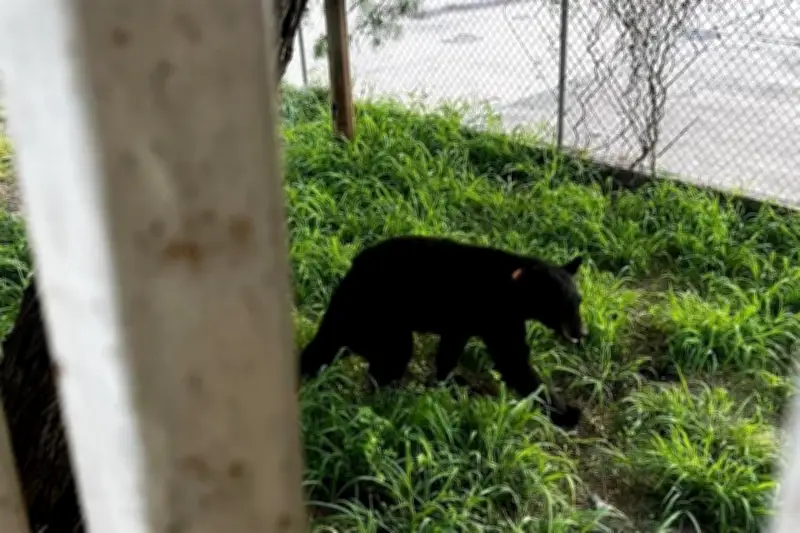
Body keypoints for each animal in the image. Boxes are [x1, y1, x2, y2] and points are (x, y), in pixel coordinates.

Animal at [299, 235, 587, 428]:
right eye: (564, 306)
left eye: (579, 301)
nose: (583, 332)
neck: (514, 290)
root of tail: (350, 275)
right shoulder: (498, 319)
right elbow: (515, 362)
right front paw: (566, 413)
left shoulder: (463, 325)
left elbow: (450, 353)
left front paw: (444, 383)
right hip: (381, 319)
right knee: (391, 356)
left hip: (356, 324)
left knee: (328, 350)